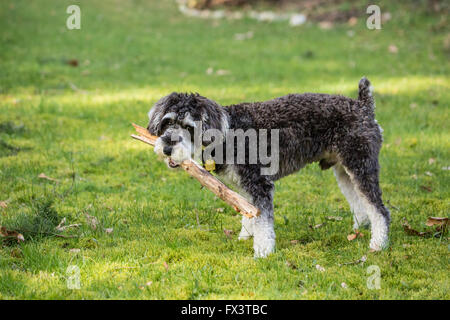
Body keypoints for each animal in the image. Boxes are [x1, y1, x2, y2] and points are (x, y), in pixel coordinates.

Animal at [148, 77, 390, 258]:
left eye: (189, 126)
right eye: (168, 122)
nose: (167, 147)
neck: (227, 132)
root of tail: (363, 106)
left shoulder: (260, 184)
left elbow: (263, 220)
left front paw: (263, 251)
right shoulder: (246, 188)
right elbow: (249, 213)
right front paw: (245, 237)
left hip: (361, 166)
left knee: (380, 209)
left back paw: (378, 243)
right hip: (344, 170)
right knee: (360, 203)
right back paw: (360, 229)